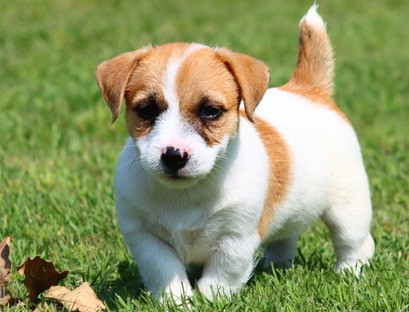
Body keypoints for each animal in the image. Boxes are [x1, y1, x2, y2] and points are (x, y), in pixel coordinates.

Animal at [95, 4, 372, 302]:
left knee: (355, 241)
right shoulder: (145, 236)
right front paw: (177, 301)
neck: (186, 195)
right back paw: (278, 267)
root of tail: (309, 89)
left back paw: (349, 272)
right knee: (285, 238)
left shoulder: (235, 238)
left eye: (211, 111)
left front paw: (208, 300)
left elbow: (221, 276)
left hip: (348, 206)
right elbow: (164, 269)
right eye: (146, 110)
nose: (174, 155)